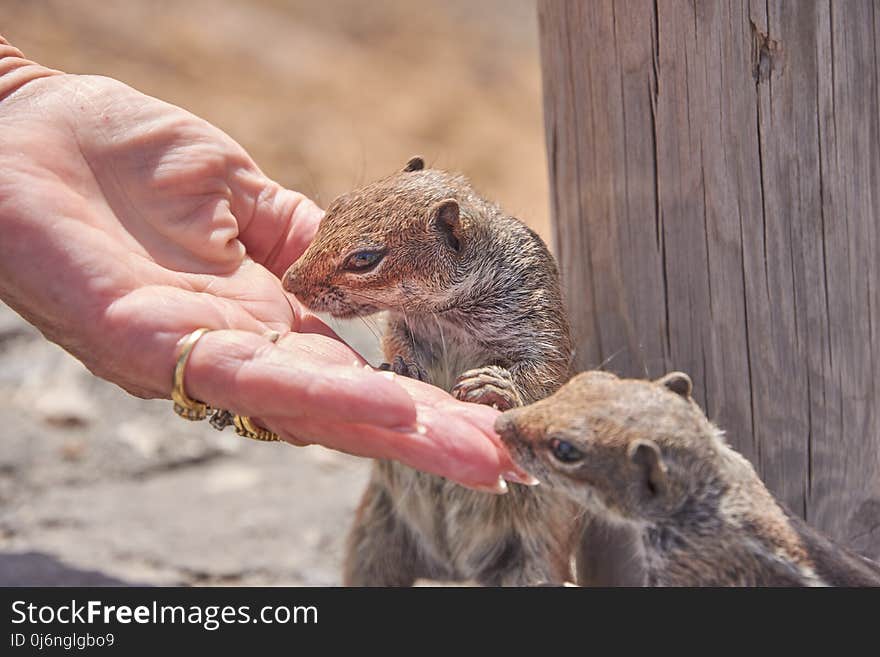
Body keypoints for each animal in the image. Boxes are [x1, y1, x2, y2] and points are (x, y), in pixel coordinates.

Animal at [286, 158, 580, 584]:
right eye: (335, 208)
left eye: (364, 259)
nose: (289, 281)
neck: (449, 313)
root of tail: (450, 569)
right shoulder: (402, 323)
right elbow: (396, 340)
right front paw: (402, 366)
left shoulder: (538, 318)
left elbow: (547, 374)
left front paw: (496, 385)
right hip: (372, 542)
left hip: (532, 563)